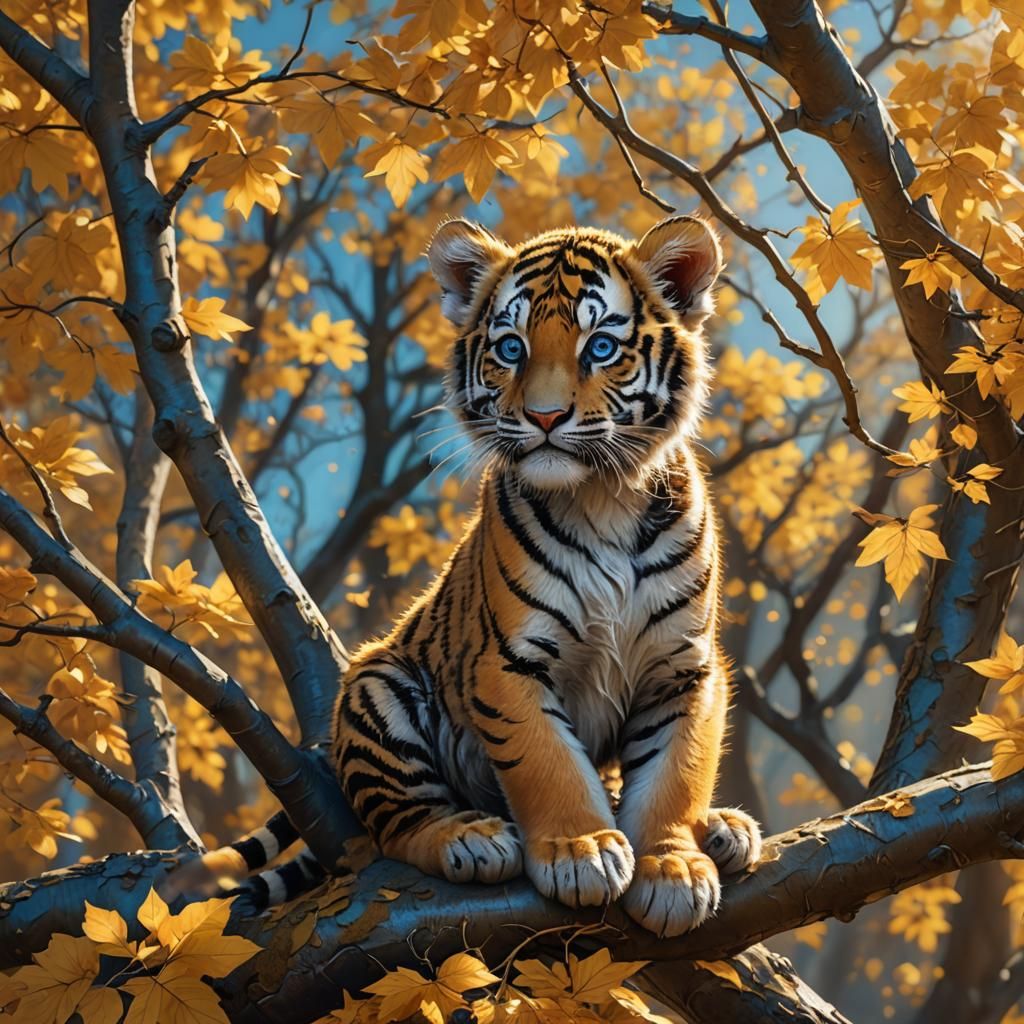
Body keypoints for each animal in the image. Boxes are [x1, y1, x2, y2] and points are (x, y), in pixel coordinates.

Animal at [178, 215, 761, 937]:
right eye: (511, 348)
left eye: (600, 346)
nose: (544, 417)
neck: (602, 497)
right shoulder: (507, 663)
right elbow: (547, 762)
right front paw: (581, 850)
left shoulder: (684, 667)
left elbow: (673, 775)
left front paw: (673, 866)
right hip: (381, 688)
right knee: (394, 827)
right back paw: (470, 836)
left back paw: (724, 828)